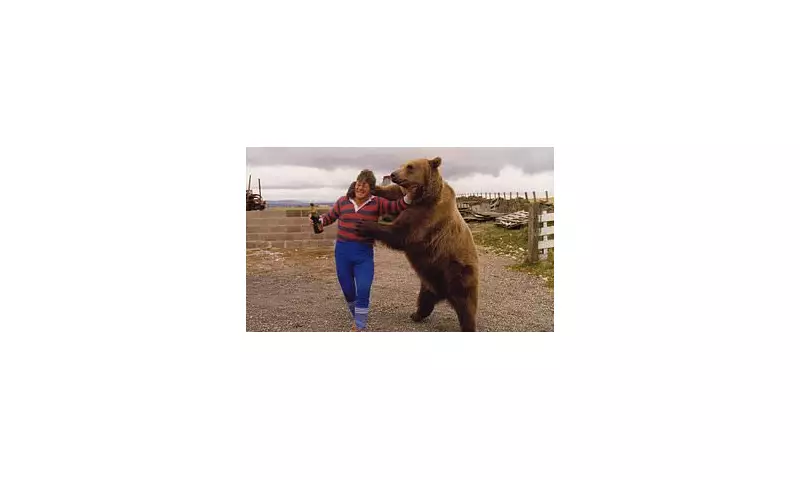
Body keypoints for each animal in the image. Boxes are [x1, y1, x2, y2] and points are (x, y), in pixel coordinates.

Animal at [354, 157, 480, 332]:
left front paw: (364, 225)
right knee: (425, 299)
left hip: (458, 270)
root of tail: (443, 293)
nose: (393, 174)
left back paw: (468, 325)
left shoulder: (427, 217)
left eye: (410, 167)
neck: (424, 197)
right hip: (429, 278)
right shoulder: (408, 202)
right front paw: (373, 186)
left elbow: (401, 234)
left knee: (466, 304)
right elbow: (394, 194)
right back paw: (416, 315)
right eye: (402, 164)